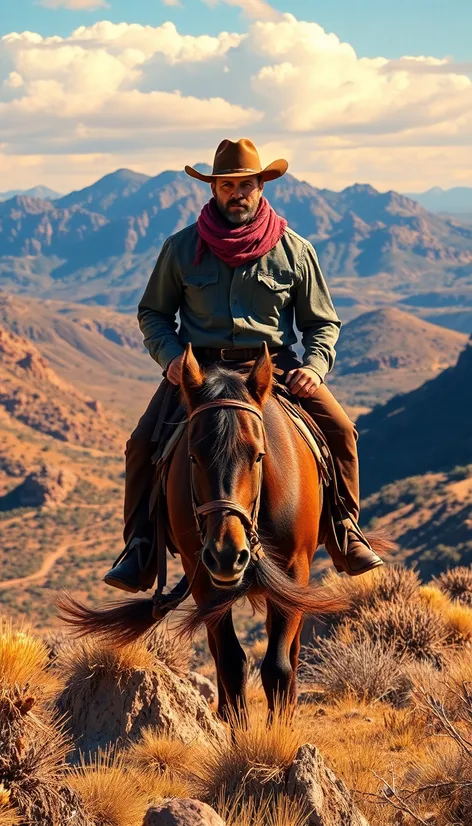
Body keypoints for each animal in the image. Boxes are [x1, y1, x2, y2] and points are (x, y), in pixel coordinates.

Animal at [59, 342, 384, 716]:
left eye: (258, 455)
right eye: (193, 456)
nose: (228, 555)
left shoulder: (294, 570)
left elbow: (277, 665)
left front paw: (280, 727)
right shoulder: (201, 575)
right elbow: (230, 660)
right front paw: (237, 727)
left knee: (290, 650)